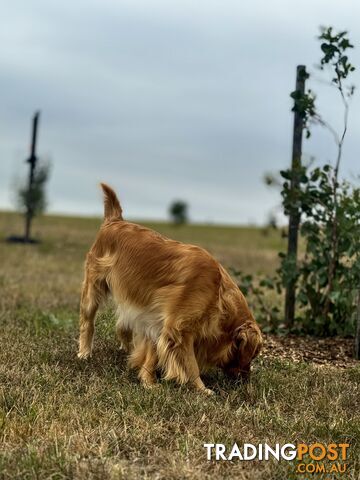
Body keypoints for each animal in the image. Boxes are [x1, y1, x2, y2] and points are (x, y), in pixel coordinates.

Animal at [78, 184, 262, 394]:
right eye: (252, 355)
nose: (246, 381)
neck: (218, 294)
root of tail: (114, 220)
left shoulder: (156, 321)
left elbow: (152, 352)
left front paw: (148, 381)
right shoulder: (178, 329)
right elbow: (190, 365)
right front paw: (202, 389)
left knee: (122, 326)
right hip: (92, 290)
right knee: (88, 323)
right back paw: (84, 353)